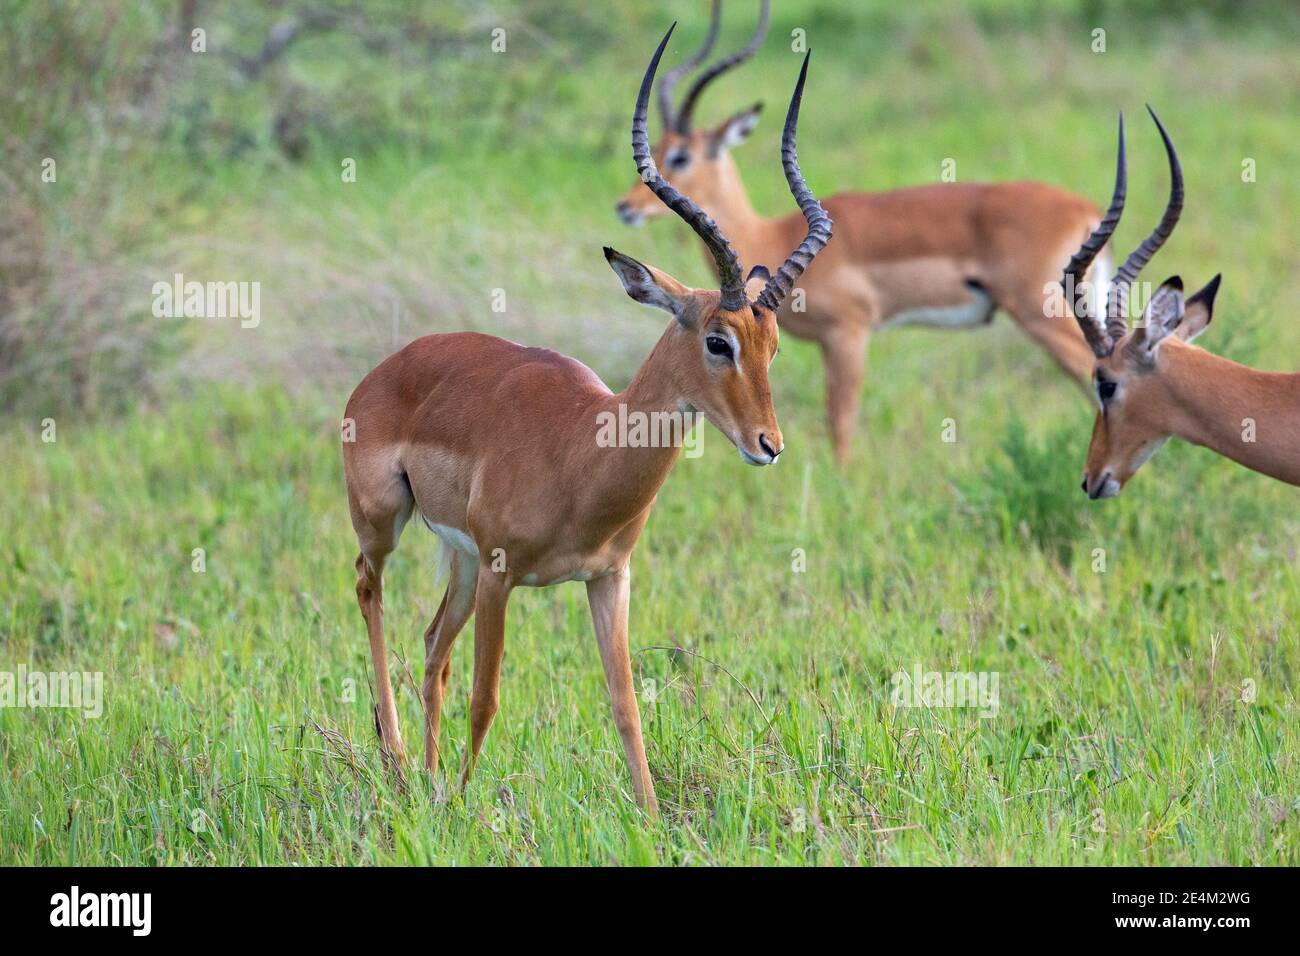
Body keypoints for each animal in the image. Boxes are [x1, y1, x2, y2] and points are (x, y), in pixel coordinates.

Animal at [341, 25, 831, 815]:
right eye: (717, 340)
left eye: (774, 344)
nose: (769, 444)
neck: (584, 455)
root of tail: (387, 367)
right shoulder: (504, 575)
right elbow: (488, 698)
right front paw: (470, 808)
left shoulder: (609, 579)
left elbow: (625, 703)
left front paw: (653, 817)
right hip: (387, 522)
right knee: (369, 588)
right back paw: (396, 760)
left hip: (459, 558)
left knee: (433, 646)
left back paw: (427, 779)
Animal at [617, 0, 1113, 464]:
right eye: (660, 147)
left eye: (681, 156)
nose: (624, 207)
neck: (772, 234)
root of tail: (1085, 210)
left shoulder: (848, 333)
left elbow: (840, 420)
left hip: (1042, 313)